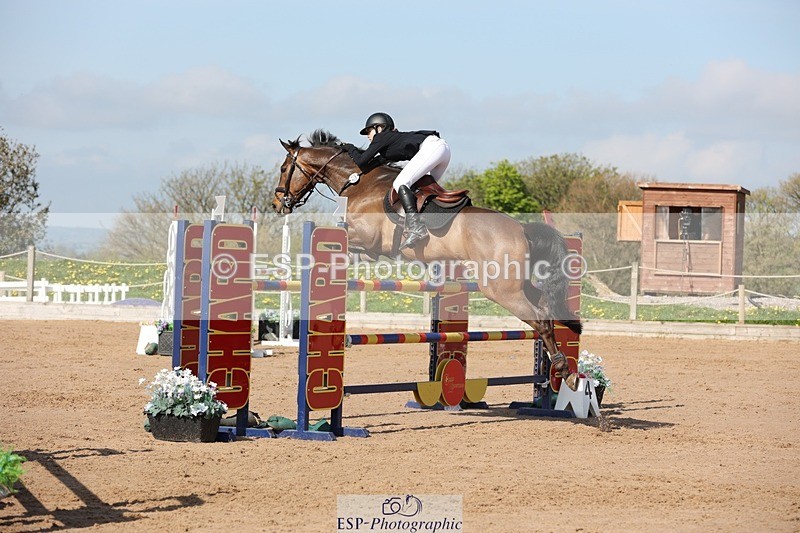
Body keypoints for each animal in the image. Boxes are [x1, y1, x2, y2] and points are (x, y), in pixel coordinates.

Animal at [271, 129, 582, 390]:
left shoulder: (369, 239)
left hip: (501, 289)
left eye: (284, 169)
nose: (276, 204)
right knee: (546, 305)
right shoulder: (370, 246)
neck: (359, 183)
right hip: (517, 283)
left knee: (541, 320)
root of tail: (522, 229)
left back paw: (564, 370)